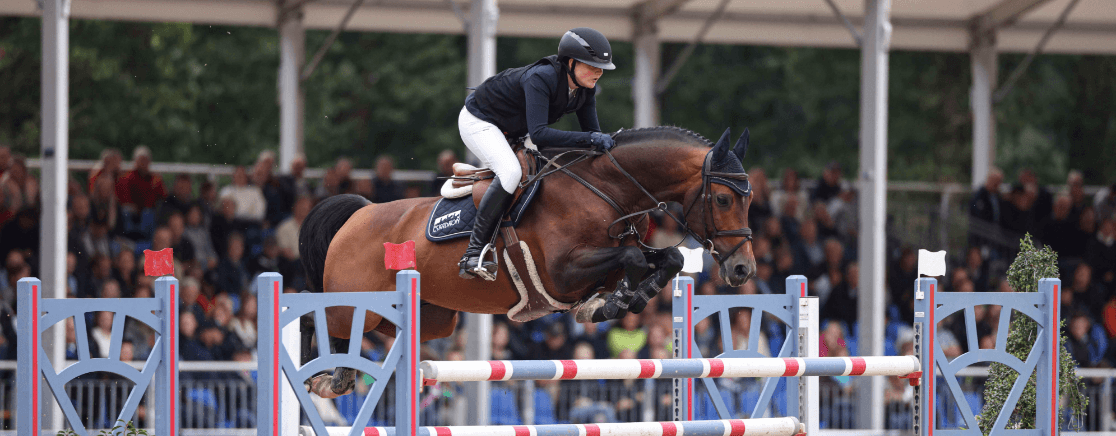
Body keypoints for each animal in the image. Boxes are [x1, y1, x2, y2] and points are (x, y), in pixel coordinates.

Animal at [298, 126, 756, 397]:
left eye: (749, 199)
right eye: (723, 199)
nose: (743, 270)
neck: (608, 190)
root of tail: (358, 213)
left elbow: (669, 257)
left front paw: (620, 300)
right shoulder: (561, 274)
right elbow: (632, 258)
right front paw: (612, 303)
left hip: (433, 317)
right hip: (352, 304)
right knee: (316, 318)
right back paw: (326, 377)